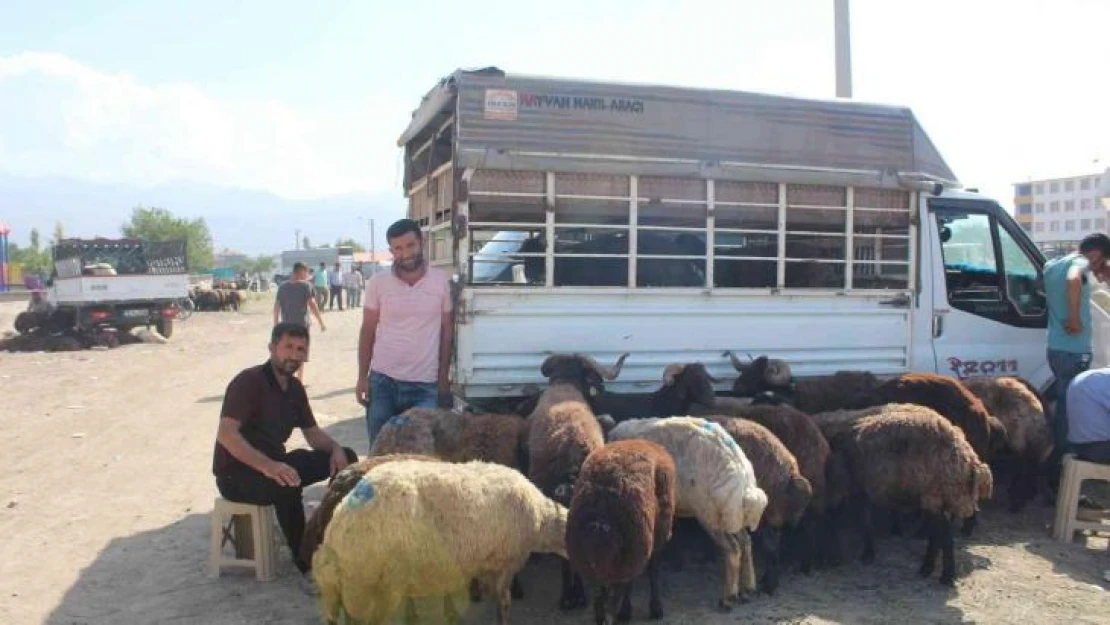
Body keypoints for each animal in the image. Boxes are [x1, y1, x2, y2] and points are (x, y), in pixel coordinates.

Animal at [603, 417, 768, 608]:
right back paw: (748, 589)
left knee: (733, 549)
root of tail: (744, 481)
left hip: (710, 513)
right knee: (746, 542)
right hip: (730, 514)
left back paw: (728, 597)